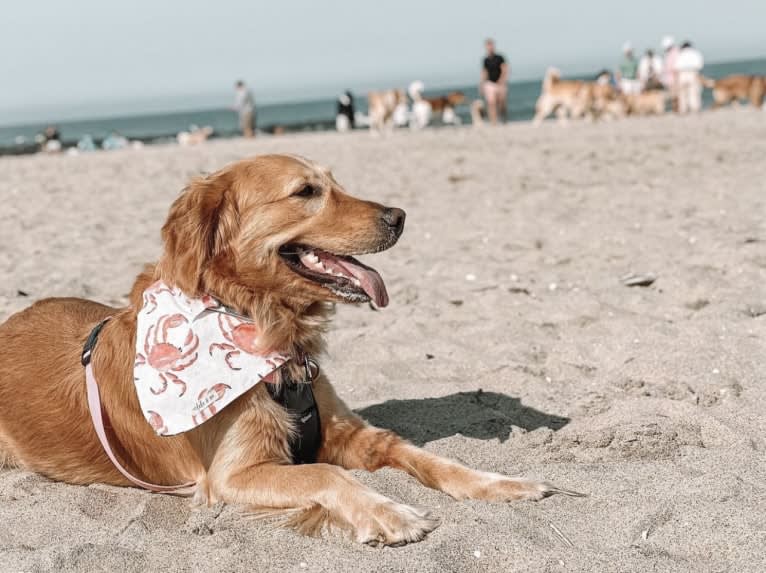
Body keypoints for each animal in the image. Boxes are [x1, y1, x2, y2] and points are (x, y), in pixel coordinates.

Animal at [0, 154, 580, 548]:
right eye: (305, 191)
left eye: (337, 183)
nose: (399, 215)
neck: (263, 323)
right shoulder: (232, 475)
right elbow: (326, 474)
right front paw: (392, 513)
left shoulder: (354, 433)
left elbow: (430, 456)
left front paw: (501, 483)